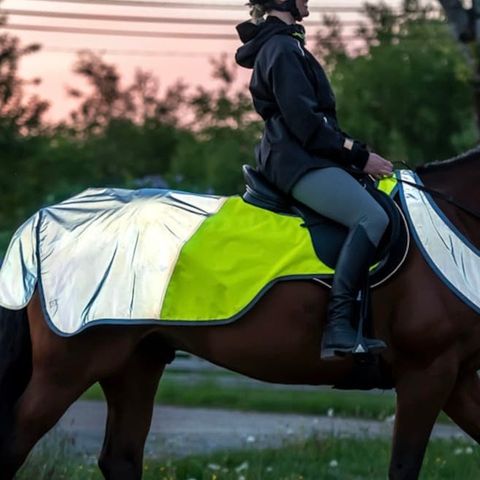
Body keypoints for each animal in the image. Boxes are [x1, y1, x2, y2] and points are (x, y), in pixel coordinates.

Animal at [0, 147, 478, 480]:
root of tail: (39, 220)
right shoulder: (425, 373)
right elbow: (404, 466)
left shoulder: (454, 375)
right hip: (69, 367)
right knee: (15, 442)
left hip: (135, 363)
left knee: (120, 457)